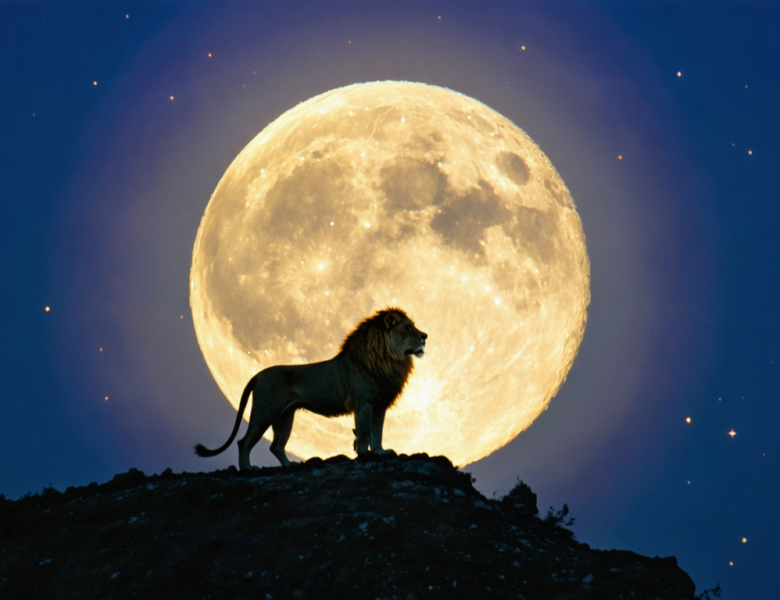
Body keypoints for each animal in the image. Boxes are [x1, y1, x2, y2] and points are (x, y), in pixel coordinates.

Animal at [195, 307, 427, 470]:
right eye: (408, 328)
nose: (425, 336)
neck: (390, 360)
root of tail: (258, 375)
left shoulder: (379, 405)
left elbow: (377, 432)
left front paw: (380, 452)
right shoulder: (363, 403)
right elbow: (363, 432)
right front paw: (364, 455)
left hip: (285, 416)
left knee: (276, 445)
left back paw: (289, 466)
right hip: (265, 411)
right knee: (243, 442)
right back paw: (248, 469)